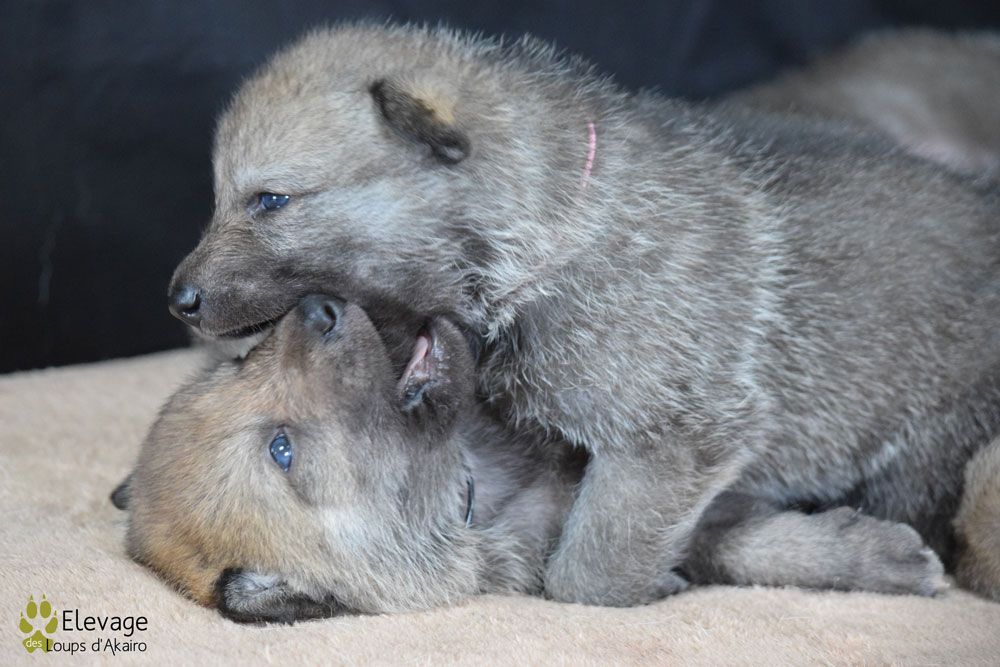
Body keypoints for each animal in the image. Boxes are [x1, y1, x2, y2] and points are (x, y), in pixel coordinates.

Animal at [115, 296, 996, 623]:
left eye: (239, 362)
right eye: (281, 449)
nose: (319, 305)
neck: (473, 488)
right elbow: (734, 543)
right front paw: (885, 556)